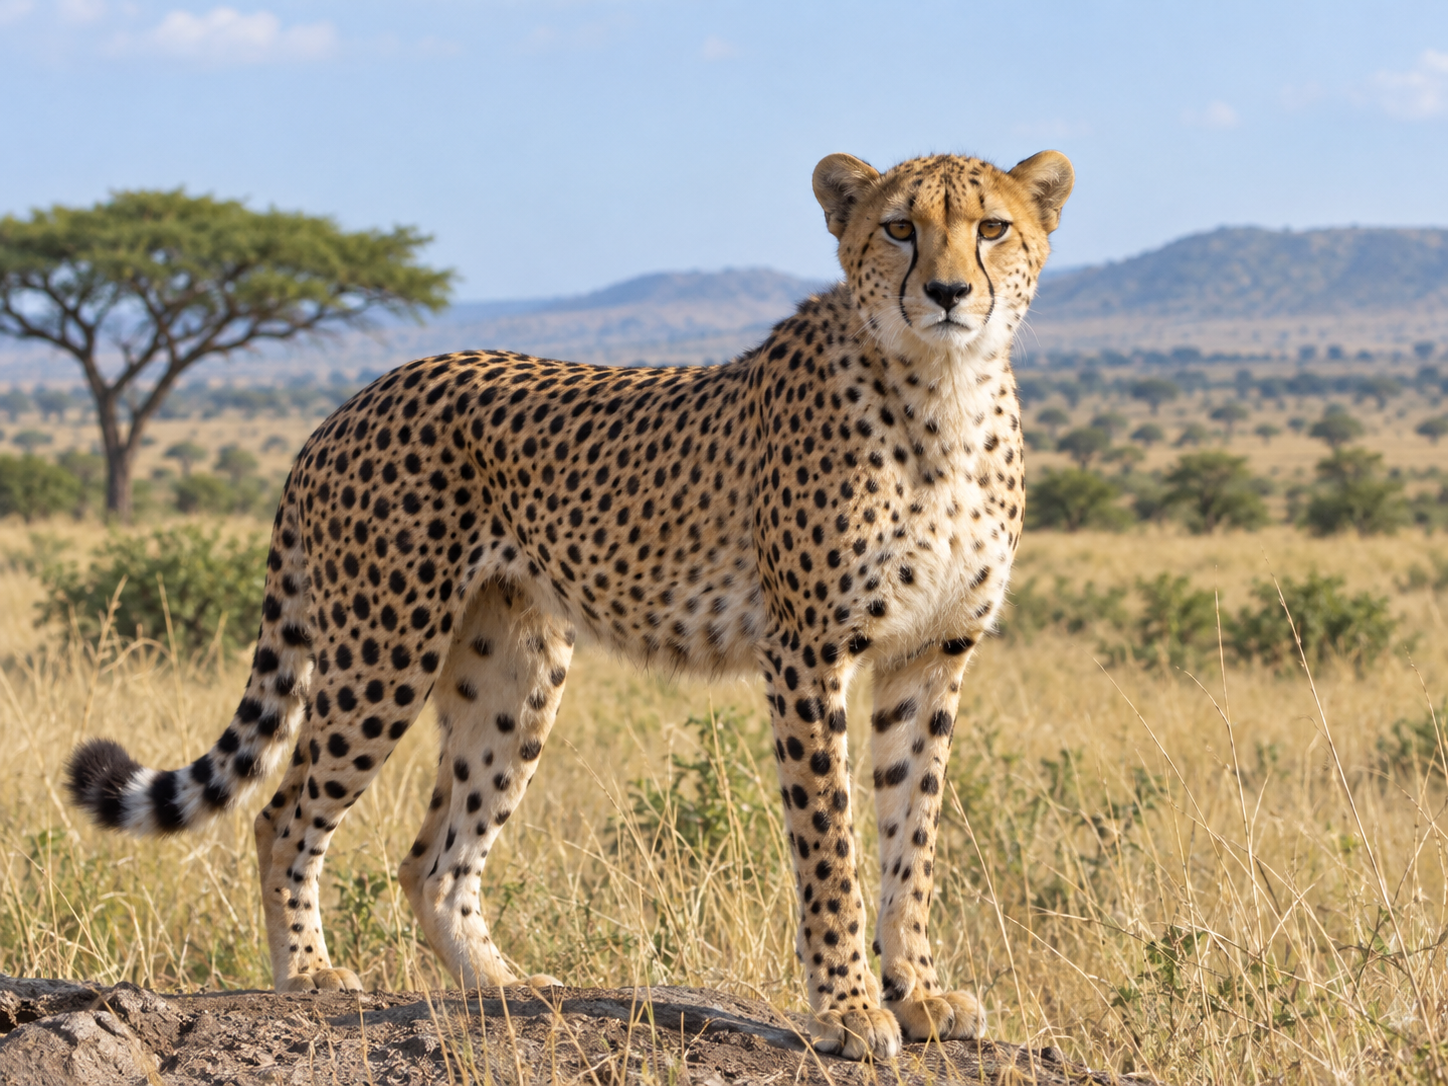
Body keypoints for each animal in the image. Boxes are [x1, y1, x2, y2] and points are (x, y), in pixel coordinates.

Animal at [66, 147, 1073, 1061]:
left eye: (992, 228)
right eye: (900, 228)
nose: (948, 292)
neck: (942, 391)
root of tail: (348, 404)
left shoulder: (929, 655)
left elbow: (913, 835)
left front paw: (919, 992)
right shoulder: (808, 651)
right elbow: (830, 842)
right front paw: (849, 1009)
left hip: (513, 671)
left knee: (433, 858)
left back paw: (504, 988)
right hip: (385, 650)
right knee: (284, 814)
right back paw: (308, 974)